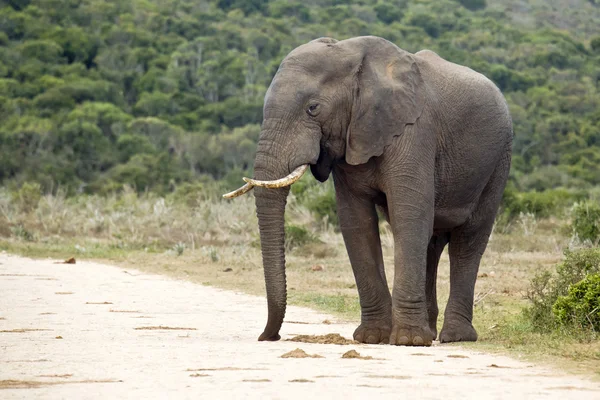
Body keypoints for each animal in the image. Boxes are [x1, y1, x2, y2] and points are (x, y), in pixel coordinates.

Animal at [223, 36, 512, 346]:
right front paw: (372, 337)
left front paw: (408, 341)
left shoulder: (414, 132)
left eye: (313, 108)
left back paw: (454, 337)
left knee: (468, 240)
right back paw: (432, 332)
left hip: (498, 160)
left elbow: (409, 219)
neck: (352, 54)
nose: (269, 337)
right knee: (432, 244)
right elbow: (357, 224)